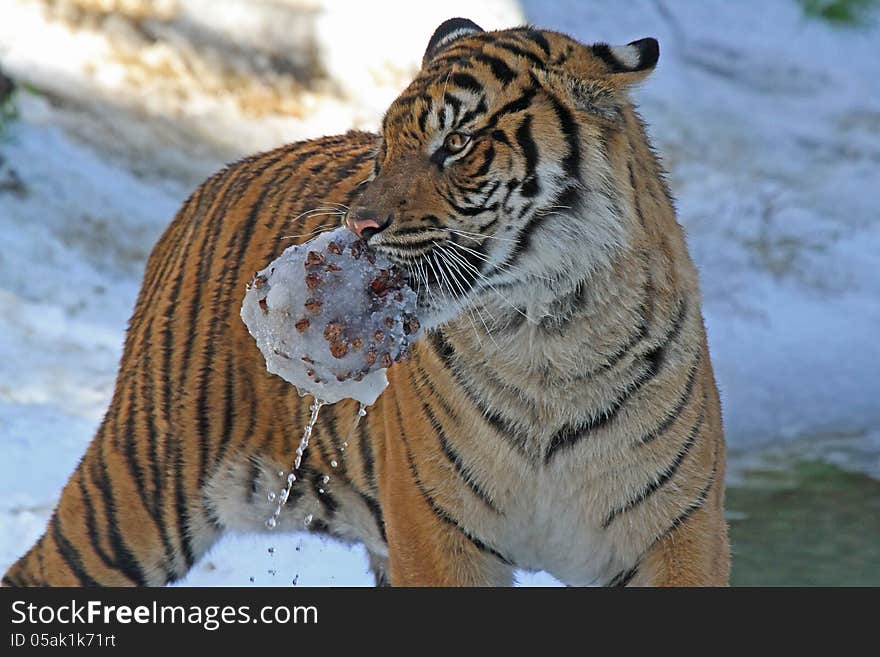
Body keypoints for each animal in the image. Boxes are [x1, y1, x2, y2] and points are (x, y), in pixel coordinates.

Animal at [1, 18, 728, 588]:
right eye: (387, 145)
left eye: (457, 142)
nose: (361, 224)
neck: (546, 336)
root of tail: (208, 185)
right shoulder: (437, 535)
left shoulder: (679, 531)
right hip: (140, 489)